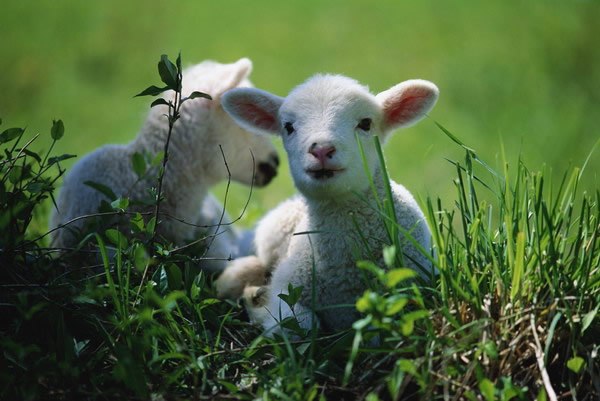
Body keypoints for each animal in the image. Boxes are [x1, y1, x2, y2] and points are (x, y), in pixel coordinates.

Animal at [217, 74, 440, 332]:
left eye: (366, 123)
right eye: (288, 127)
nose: (321, 149)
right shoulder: (287, 286)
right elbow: (301, 324)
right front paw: (259, 306)